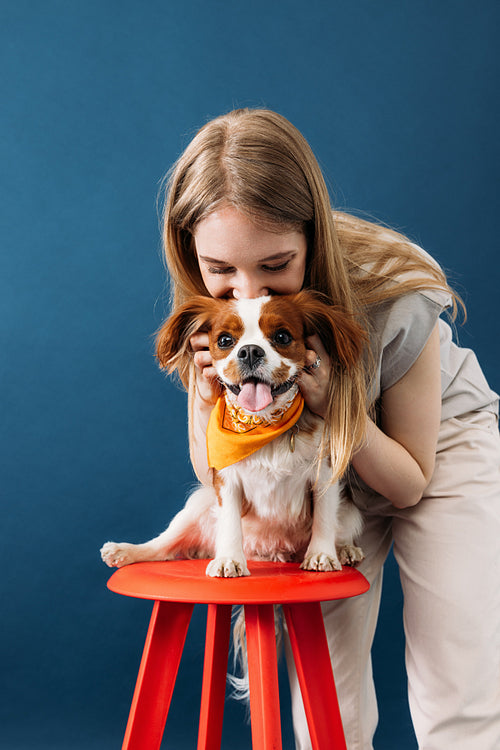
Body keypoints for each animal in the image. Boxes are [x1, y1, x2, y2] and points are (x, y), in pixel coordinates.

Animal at [101, 290, 366, 580]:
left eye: (282, 337)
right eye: (225, 340)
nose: (250, 351)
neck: (263, 421)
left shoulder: (325, 474)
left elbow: (324, 519)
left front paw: (321, 554)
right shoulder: (225, 478)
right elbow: (229, 520)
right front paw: (229, 558)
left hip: (351, 512)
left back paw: (345, 550)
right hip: (198, 503)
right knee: (164, 547)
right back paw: (126, 551)